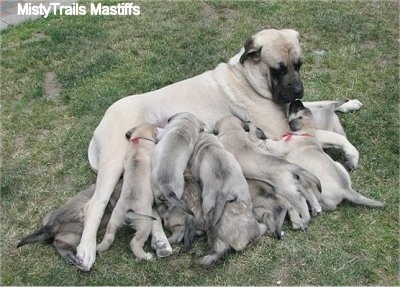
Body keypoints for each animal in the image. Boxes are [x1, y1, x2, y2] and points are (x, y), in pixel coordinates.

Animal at [97, 123, 158, 260]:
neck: (139, 140)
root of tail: (129, 211)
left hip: (114, 219)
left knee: (109, 236)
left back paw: (99, 247)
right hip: (145, 224)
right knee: (135, 242)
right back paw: (146, 256)